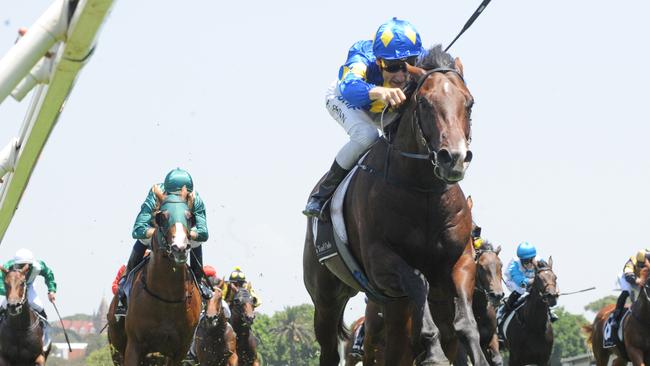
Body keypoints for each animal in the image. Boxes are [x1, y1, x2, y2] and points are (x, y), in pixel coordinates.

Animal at [107, 187, 201, 364]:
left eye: (189, 217)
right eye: (162, 217)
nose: (179, 247)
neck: (167, 297)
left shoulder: (179, 351)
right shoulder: (134, 346)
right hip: (117, 349)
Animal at [302, 46, 484, 366]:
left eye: (469, 102)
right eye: (424, 102)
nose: (454, 158)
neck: (423, 193)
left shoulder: (460, 260)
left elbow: (465, 323)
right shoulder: (380, 262)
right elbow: (418, 280)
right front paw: (432, 351)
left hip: (391, 305)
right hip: (326, 297)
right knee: (329, 349)